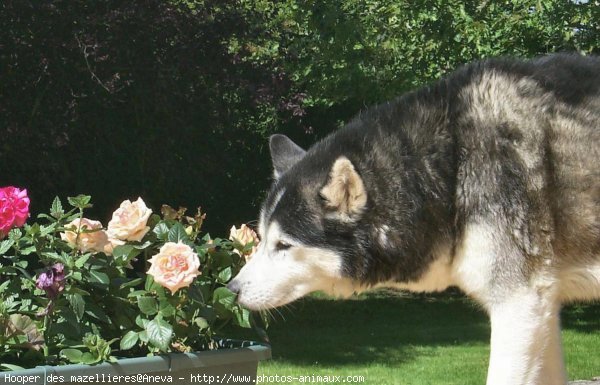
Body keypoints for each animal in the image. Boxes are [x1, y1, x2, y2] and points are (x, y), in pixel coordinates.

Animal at [227, 54, 596, 384]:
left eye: (284, 245)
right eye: (263, 238)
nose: (230, 289)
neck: (449, 170)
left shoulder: (520, 305)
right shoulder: (542, 310)